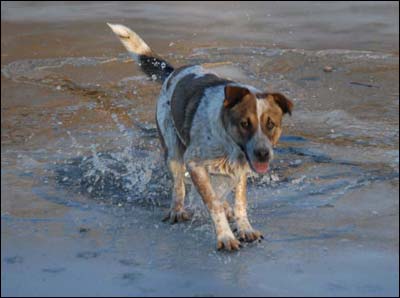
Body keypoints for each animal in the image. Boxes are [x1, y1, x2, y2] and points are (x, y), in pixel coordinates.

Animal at [108, 23, 292, 251]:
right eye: (245, 123)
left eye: (270, 124)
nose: (263, 154)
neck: (227, 142)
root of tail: (174, 73)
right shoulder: (194, 163)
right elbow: (212, 202)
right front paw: (225, 236)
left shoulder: (240, 168)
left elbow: (240, 202)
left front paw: (245, 228)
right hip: (173, 151)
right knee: (178, 185)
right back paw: (177, 210)